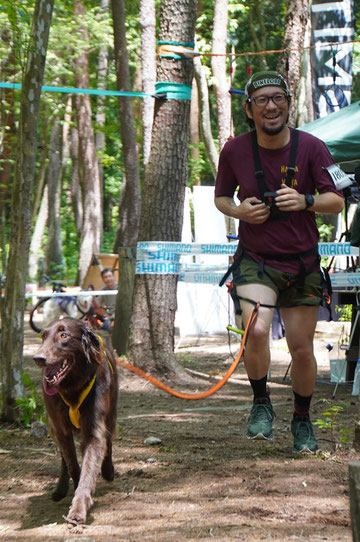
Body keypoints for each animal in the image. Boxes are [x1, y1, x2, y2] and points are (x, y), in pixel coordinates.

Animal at [32, 318, 118, 528]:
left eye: (64, 335)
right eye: (43, 336)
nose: (38, 358)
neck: (72, 388)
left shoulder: (94, 431)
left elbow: (90, 466)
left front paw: (78, 510)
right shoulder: (60, 428)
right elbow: (73, 465)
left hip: (111, 412)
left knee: (109, 439)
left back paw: (108, 470)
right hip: (54, 427)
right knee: (65, 458)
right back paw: (61, 488)